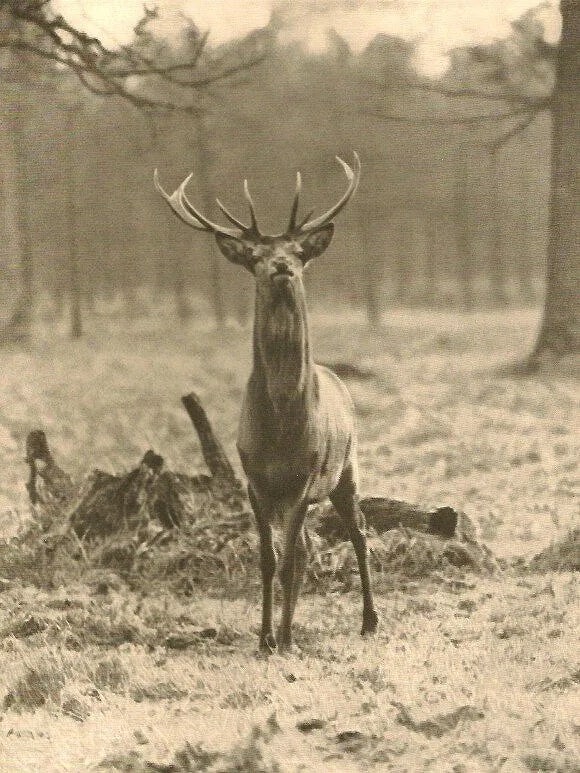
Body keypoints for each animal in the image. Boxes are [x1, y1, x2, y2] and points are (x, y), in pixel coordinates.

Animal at [154, 153, 378, 651]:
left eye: (298, 252)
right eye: (254, 257)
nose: (280, 266)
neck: (279, 425)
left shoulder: (302, 479)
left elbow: (289, 560)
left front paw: (286, 638)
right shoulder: (255, 481)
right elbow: (268, 560)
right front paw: (264, 639)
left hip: (347, 469)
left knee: (357, 534)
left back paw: (370, 621)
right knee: (307, 550)